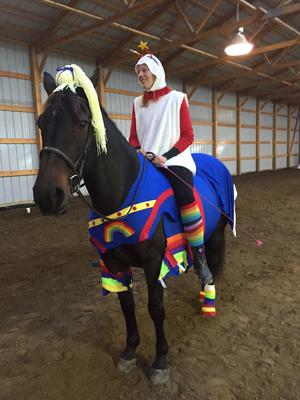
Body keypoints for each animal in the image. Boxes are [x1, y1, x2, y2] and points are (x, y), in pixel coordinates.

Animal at [33, 69, 234, 384]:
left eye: (82, 123)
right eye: (41, 123)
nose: (47, 196)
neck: (122, 194)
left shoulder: (154, 263)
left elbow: (155, 308)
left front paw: (160, 361)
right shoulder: (114, 263)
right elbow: (126, 306)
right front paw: (129, 352)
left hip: (216, 234)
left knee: (211, 264)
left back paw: (208, 301)